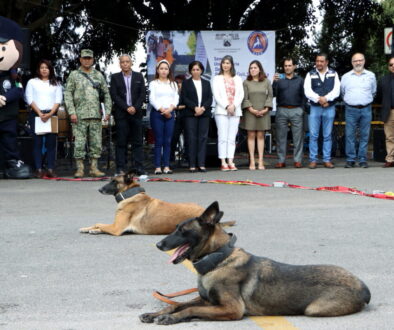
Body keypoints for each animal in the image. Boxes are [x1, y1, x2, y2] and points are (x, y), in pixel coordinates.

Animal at [79, 171, 235, 236]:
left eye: (114, 181)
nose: (99, 189)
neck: (131, 194)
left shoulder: (116, 228)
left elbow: (99, 223)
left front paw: (93, 229)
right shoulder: (114, 226)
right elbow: (98, 224)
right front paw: (89, 229)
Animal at [140, 201, 370, 324]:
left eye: (182, 230)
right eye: (175, 227)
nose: (158, 244)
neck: (219, 260)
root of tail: (363, 287)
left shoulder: (231, 309)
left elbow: (189, 310)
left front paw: (172, 318)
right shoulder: (207, 300)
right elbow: (176, 304)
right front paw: (156, 313)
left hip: (314, 309)